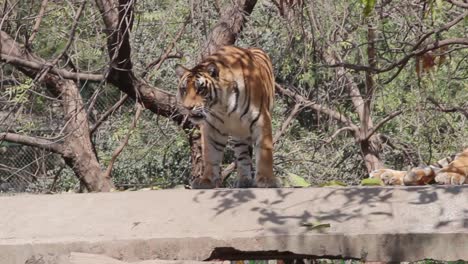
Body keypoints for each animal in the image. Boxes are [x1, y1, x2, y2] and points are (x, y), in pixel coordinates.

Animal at [176, 46, 278, 190]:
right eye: (184, 89)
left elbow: (265, 150)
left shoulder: (261, 119)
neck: (222, 105)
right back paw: (244, 180)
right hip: (239, 133)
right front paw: (206, 180)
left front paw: (267, 180)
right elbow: (211, 154)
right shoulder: (212, 126)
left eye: (200, 89)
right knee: (243, 156)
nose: (188, 107)